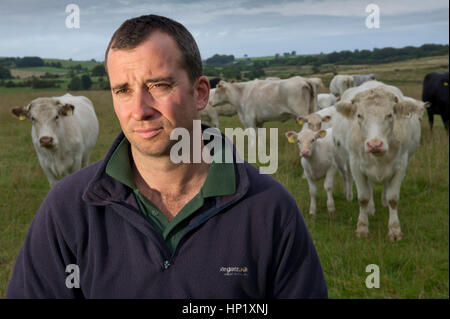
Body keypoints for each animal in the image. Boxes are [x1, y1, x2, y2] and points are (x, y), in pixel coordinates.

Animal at [334, 81, 426, 241]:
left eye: (389, 115)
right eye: (359, 115)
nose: (375, 144)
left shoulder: (401, 166)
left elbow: (393, 198)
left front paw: (394, 230)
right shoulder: (355, 165)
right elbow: (363, 197)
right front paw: (362, 227)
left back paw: (383, 202)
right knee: (370, 187)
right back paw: (371, 209)